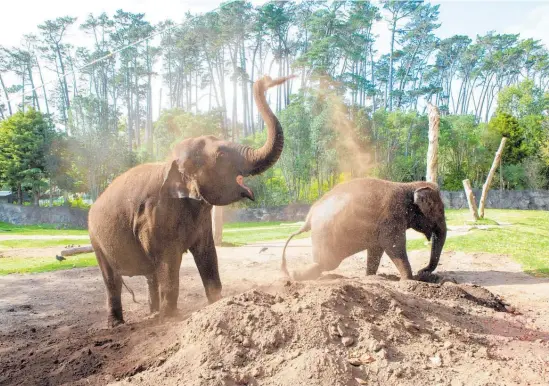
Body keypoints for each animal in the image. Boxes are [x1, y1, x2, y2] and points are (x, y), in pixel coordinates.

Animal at [88, 74, 294, 326]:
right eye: (221, 155)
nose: (266, 80)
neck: (170, 163)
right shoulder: (155, 216)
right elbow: (168, 262)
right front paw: (171, 318)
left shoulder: (201, 219)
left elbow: (207, 254)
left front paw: (216, 303)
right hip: (95, 239)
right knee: (112, 279)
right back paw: (119, 323)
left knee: (149, 274)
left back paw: (153, 313)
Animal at [282, 177, 446, 280]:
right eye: (440, 210)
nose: (422, 271)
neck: (409, 185)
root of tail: (308, 218)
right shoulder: (392, 217)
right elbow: (393, 246)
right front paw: (409, 280)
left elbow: (376, 249)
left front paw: (370, 277)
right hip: (325, 237)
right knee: (327, 263)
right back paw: (295, 275)